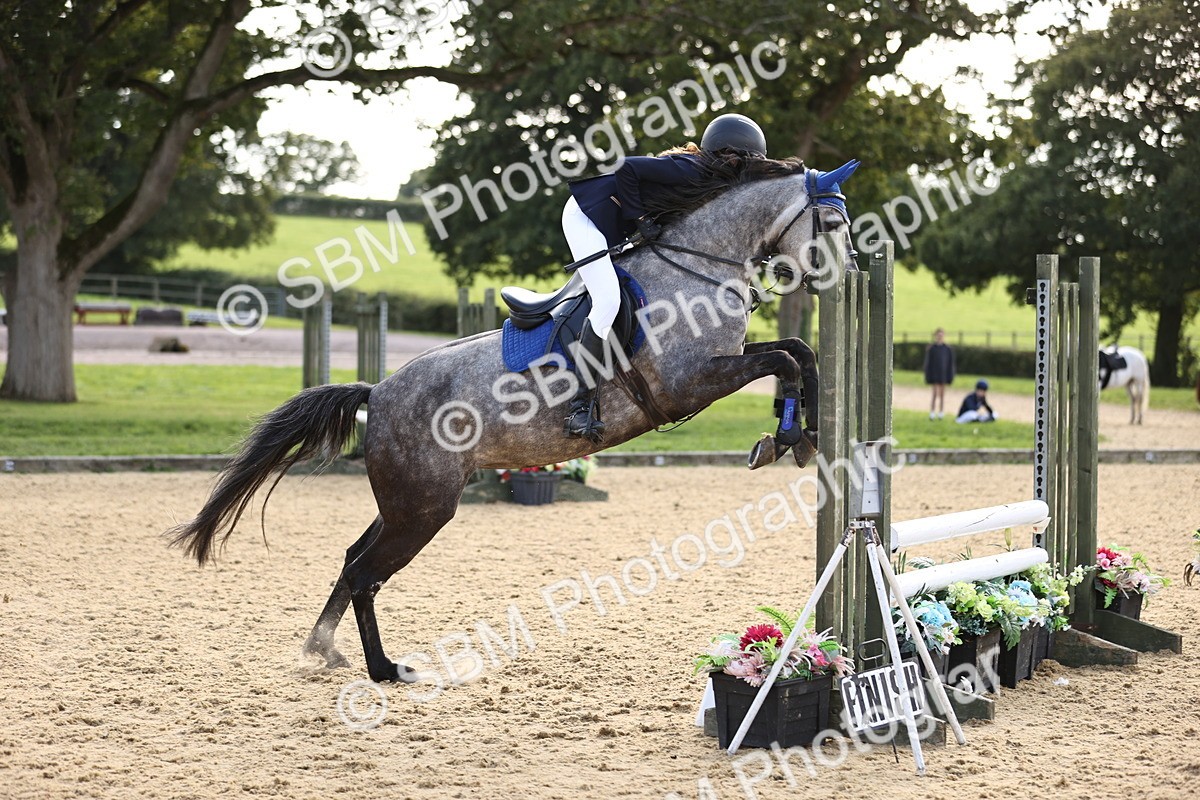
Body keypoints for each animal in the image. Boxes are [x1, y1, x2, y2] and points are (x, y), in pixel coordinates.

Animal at [166, 162, 860, 683]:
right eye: (831, 220)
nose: (848, 276)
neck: (699, 264)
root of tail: (379, 393)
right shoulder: (689, 384)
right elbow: (783, 356)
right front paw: (787, 436)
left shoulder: (719, 367)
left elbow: (797, 351)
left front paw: (801, 433)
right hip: (424, 508)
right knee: (366, 573)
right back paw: (384, 670)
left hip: (408, 502)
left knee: (353, 558)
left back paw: (325, 648)